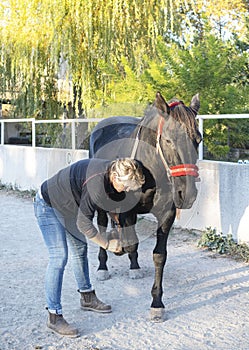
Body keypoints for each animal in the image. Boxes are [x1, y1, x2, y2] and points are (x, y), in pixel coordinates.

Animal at [88, 91, 201, 322]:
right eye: (168, 140)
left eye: (198, 140)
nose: (187, 194)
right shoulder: (128, 210)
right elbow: (129, 241)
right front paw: (119, 248)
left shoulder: (167, 214)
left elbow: (159, 255)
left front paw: (157, 303)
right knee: (103, 225)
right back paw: (103, 266)